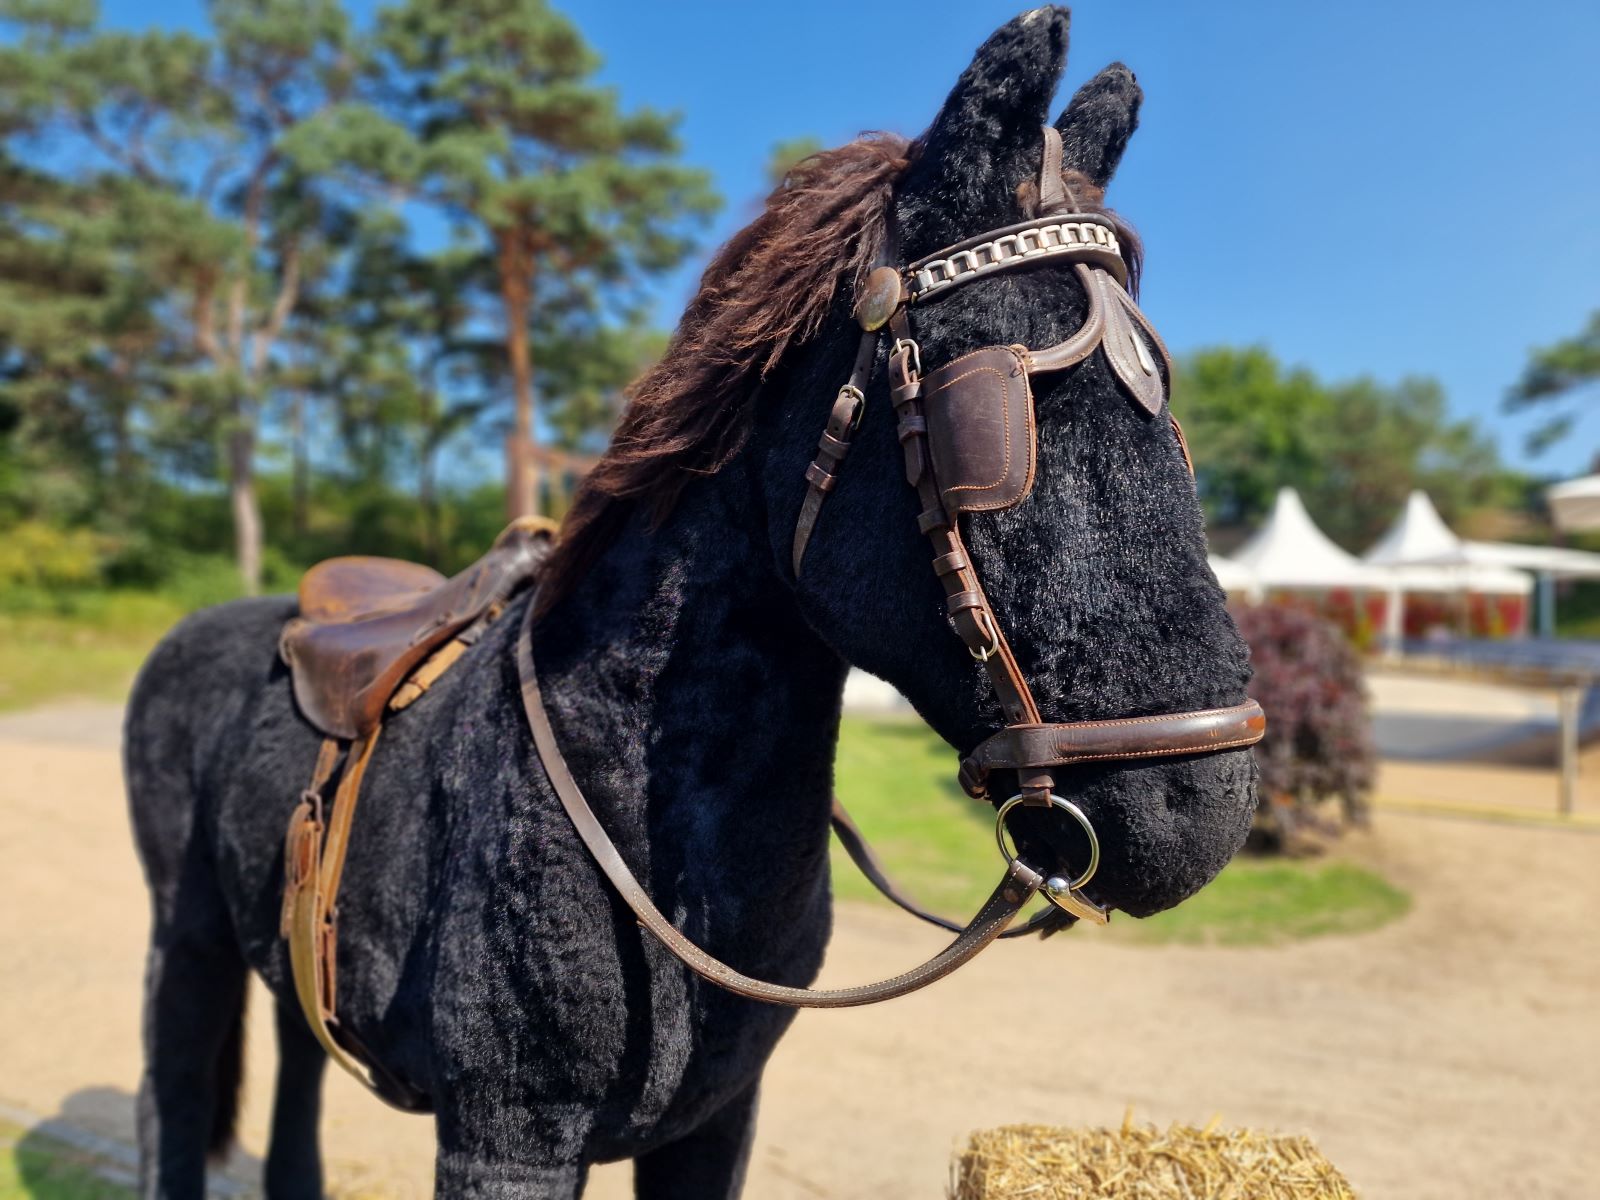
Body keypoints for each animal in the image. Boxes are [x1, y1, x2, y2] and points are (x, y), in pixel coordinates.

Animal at [124, 8, 1256, 1197]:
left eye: (1165, 404)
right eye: (987, 418)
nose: (1204, 803)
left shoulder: (717, 1120)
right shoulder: (505, 1138)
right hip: (185, 942)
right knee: (175, 1090)